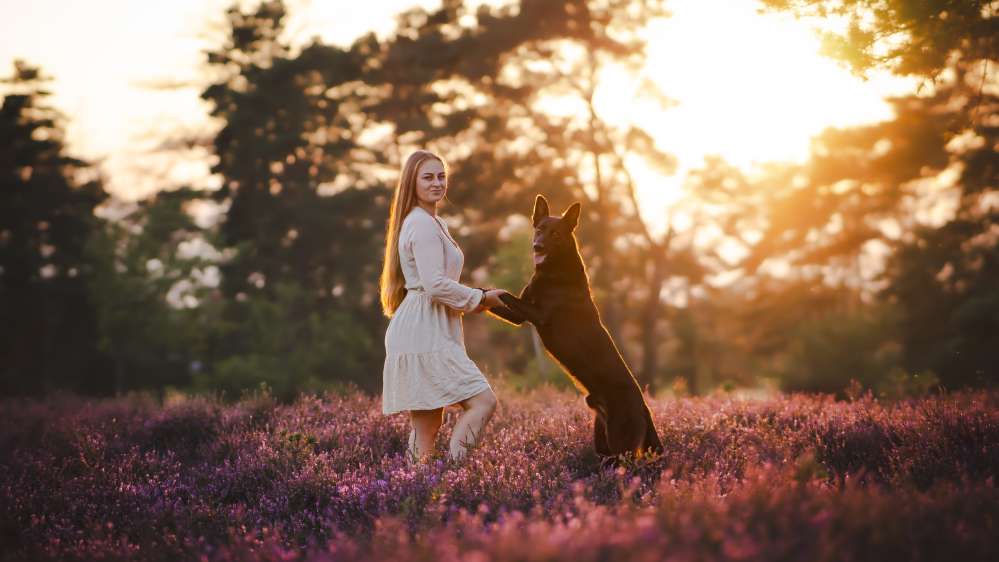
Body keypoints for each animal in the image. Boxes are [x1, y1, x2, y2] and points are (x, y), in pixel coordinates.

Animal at [486, 195, 664, 458]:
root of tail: (644, 408)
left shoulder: (537, 314)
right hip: (603, 441)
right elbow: (494, 297)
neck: (556, 269)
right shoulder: (519, 316)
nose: (537, 247)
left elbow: (504, 294)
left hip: (622, 444)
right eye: (539, 230)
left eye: (556, 234)